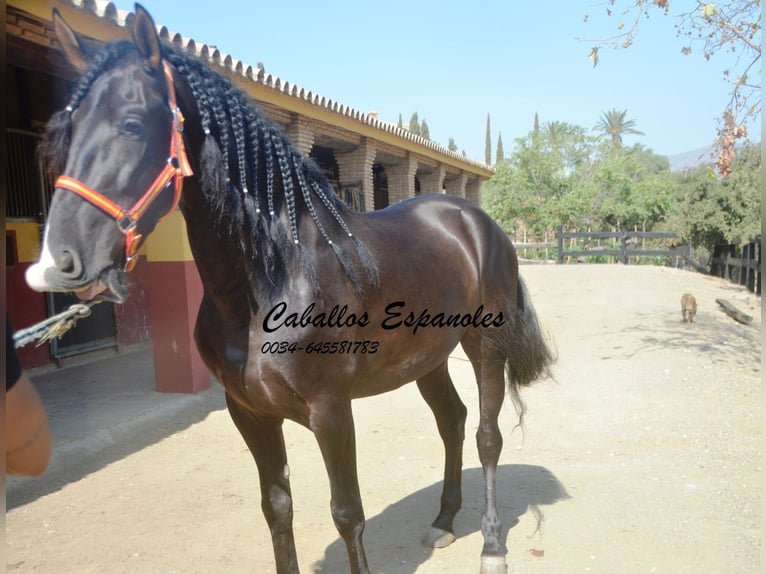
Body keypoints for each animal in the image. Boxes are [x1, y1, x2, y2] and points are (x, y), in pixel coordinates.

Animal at [27, 5, 556, 574]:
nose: (60, 261)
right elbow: (276, 507)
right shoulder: (249, 413)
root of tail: (474, 218)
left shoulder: (331, 410)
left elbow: (347, 513)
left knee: (486, 436)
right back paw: (443, 521)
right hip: (427, 358)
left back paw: (491, 544)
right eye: (65, 130)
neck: (269, 281)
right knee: (452, 421)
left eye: (131, 123)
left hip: (485, 347)